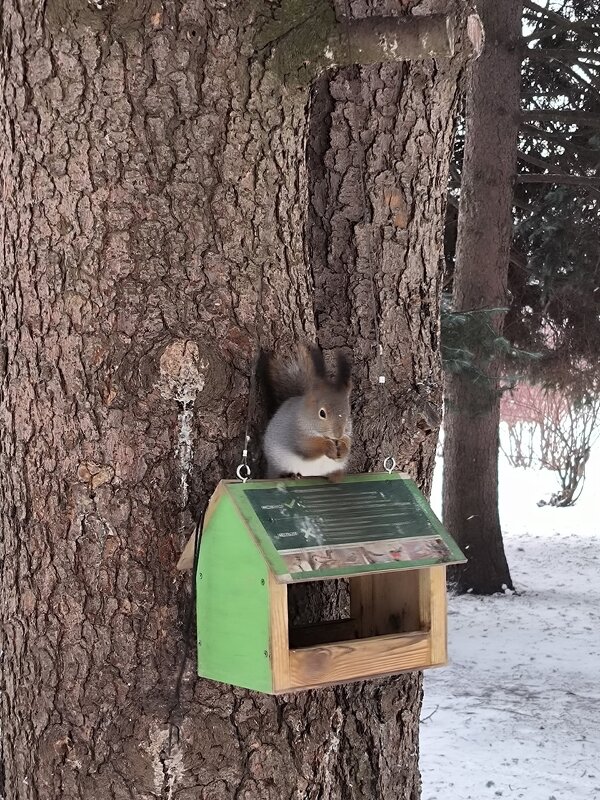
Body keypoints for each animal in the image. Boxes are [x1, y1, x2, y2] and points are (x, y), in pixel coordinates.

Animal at [262, 340, 354, 478]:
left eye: (348, 413)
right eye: (322, 413)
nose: (338, 434)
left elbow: (347, 443)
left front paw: (343, 447)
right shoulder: (297, 433)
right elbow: (308, 447)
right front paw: (327, 447)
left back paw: (335, 476)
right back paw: (290, 475)